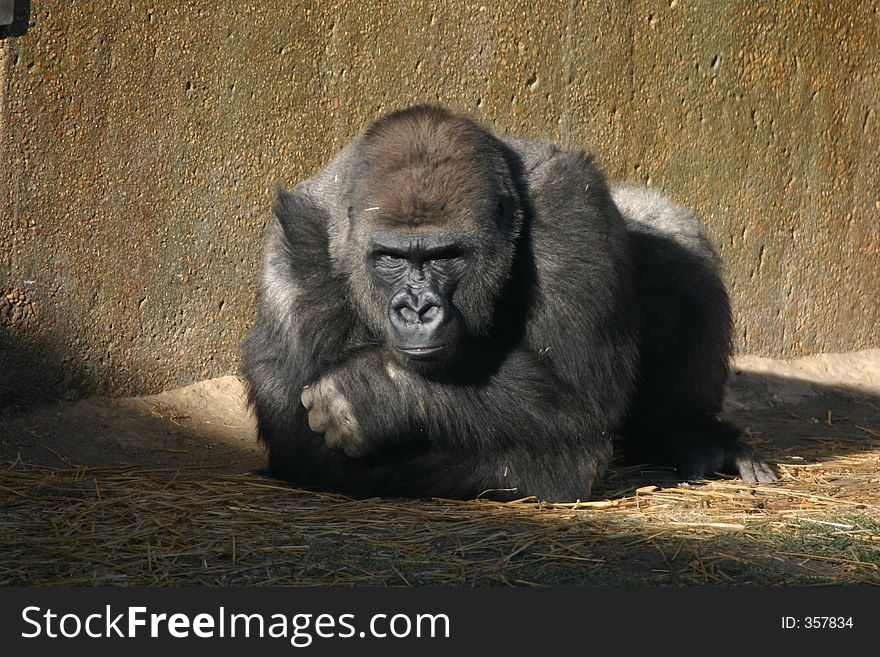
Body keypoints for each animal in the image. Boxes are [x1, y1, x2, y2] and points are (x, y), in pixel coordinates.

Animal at [239, 105, 768, 500]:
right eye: (390, 257)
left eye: (446, 256)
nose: (417, 309)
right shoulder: (296, 245)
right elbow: (298, 434)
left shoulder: (570, 203)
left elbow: (582, 399)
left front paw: (376, 391)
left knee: (668, 231)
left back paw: (685, 432)